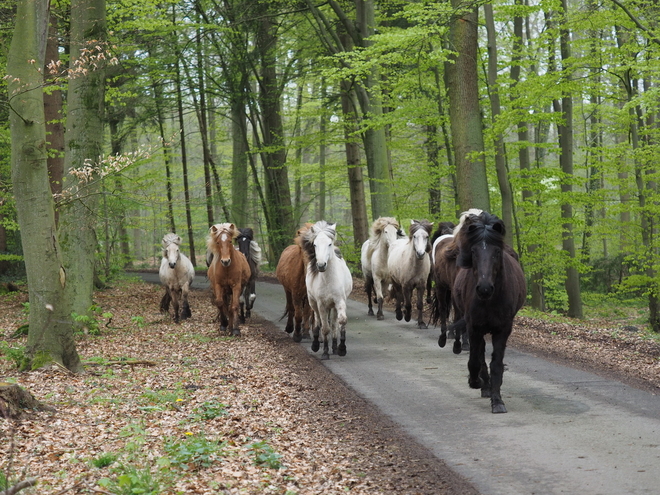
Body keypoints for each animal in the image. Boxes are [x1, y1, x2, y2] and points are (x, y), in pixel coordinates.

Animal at [302, 222, 354, 360]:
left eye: (329, 244)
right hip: (313, 303)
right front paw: (325, 352)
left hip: (333, 306)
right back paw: (316, 345)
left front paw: (341, 348)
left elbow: (341, 321)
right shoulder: (322, 305)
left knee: (334, 324)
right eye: (315, 244)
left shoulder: (340, 301)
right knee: (317, 321)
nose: (321, 265)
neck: (329, 280)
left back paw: (335, 348)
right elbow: (324, 328)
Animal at [448, 211, 524, 412]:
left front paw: (497, 401)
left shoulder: (503, 330)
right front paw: (476, 382)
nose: (484, 288)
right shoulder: (474, 327)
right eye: (474, 252)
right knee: (479, 355)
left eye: (496, 252)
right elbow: (475, 360)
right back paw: (483, 384)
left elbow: (496, 364)